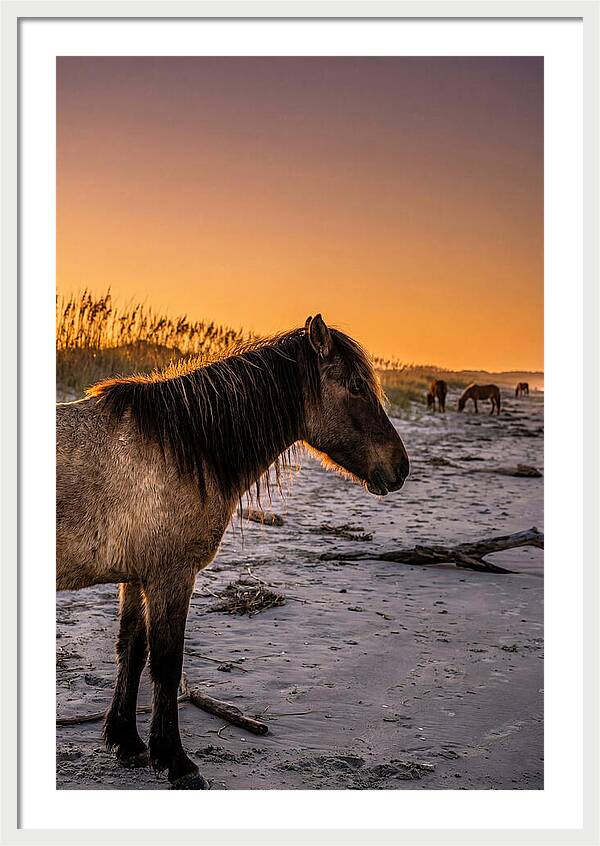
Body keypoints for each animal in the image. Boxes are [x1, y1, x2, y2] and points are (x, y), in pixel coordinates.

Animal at [56, 314, 410, 790]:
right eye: (356, 387)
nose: (400, 468)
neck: (181, 448)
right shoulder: (171, 577)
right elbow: (166, 663)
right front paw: (176, 762)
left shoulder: (138, 576)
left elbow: (132, 648)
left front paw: (127, 742)